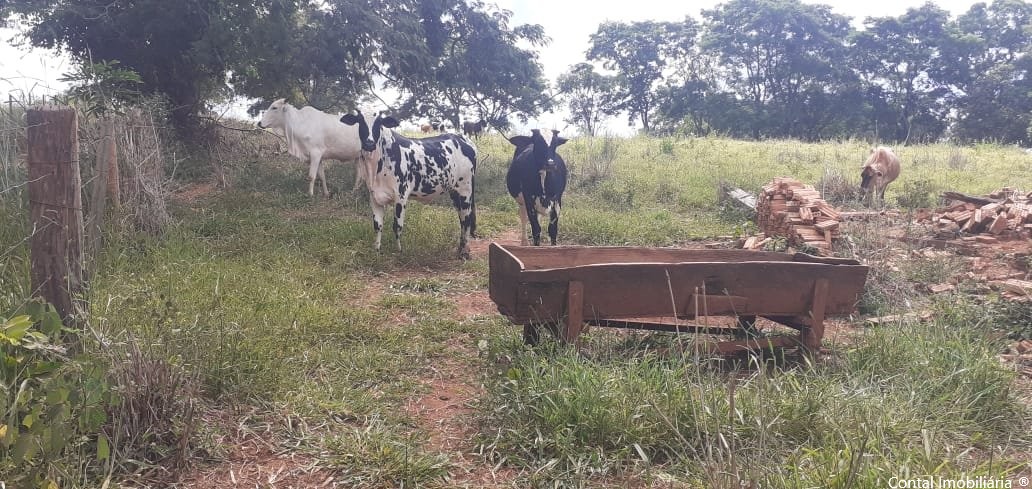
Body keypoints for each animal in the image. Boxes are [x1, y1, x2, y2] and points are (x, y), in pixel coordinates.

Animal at [339, 111, 478, 259]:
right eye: (360, 122)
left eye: (379, 124)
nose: (369, 143)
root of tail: (463, 138)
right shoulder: (374, 196)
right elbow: (377, 225)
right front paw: (376, 251)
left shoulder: (401, 195)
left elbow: (397, 226)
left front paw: (399, 251)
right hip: (454, 192)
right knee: (461, 218)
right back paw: (460, 249)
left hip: (465, 189)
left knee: (467, 218)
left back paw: (464, 252)